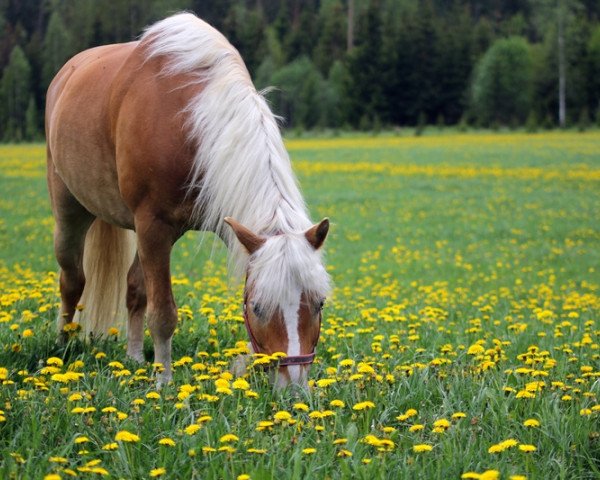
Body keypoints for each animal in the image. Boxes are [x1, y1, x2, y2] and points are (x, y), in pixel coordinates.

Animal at [44, 11, 330, 388]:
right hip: (69, 211)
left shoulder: (163, 230)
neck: (189, 123)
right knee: (72, 280)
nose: (293, 386)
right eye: (257, 307)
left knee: (133, 288)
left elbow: (143, 294)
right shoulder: (153, 226)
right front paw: (164, 381)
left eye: (319, 303)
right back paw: (62, 347)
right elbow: (163, 312)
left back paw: (134, 357)